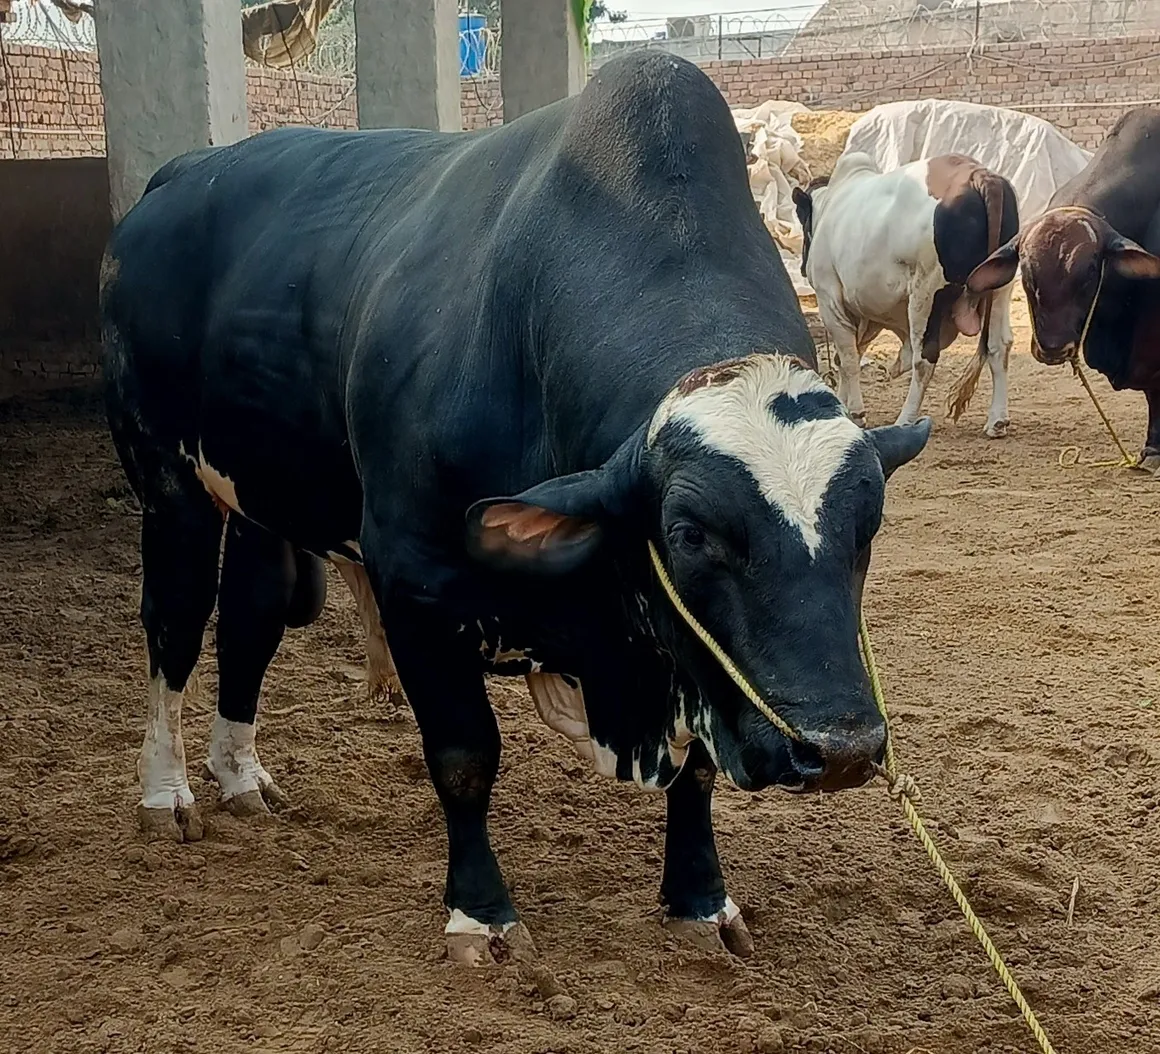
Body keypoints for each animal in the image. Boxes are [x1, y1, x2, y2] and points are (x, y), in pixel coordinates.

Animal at [101, 52, 931, 965]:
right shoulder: (415, 581)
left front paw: (701, 899)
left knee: (250, 619)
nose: (842, 750)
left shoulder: (691, 668)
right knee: (176, 622)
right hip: (168, 480)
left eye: (869, 524)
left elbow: (699, 767)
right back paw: (167, 791)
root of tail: (183, 173)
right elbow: (465, 755)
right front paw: (482, 913)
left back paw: (241, 774)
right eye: (687, 532)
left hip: (259, 500)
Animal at [793, 152, 1020, 437]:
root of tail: (980, 175)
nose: (803, 266)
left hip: (926, 291)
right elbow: (848, 355)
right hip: (1000, 288)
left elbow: (848, 358)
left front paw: (855, 413)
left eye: (802, 220)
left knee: (924, 359)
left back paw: (905, 419)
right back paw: (997, 420)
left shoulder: (829, 299)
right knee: (998, 346)